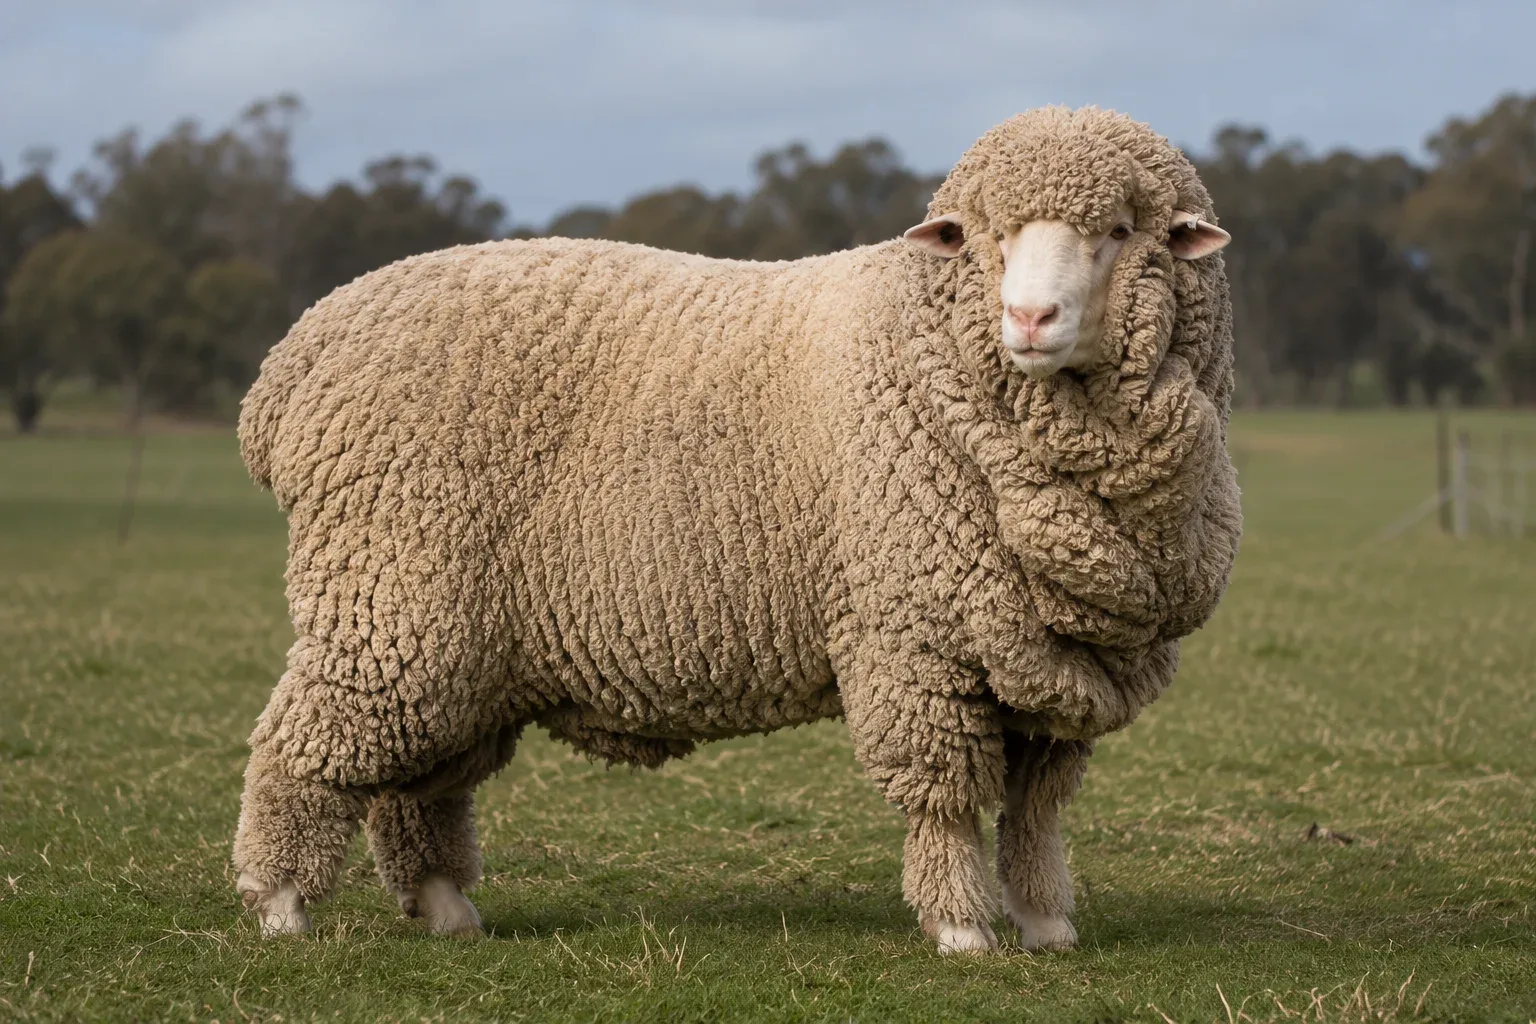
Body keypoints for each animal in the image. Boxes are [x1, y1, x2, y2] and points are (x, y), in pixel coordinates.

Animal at [231, 105, 1242, 953]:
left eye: (1121, 233)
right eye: (987, 238)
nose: (1030, 318)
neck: (927, 359)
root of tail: (290, 364)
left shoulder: (1051, 661)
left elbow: (1035, 812)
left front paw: (1044, 923)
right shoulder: (917, 640)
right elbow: (946, 801)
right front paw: (961, 929)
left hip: (451, 647)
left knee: (418, 784)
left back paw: (445, 907)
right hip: (389, 603)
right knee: (298, 745)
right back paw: (278, 906)